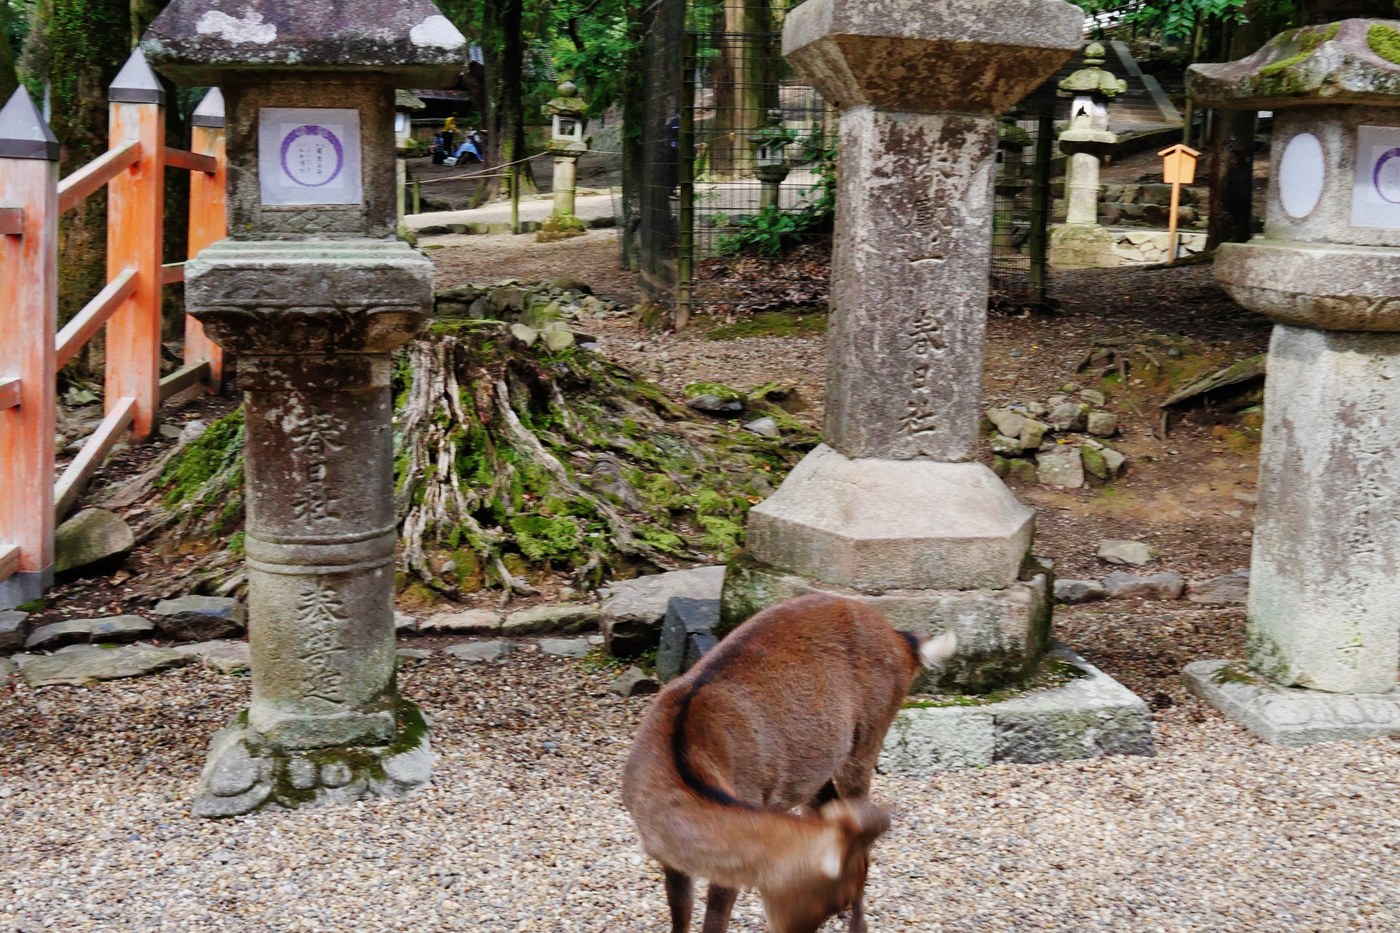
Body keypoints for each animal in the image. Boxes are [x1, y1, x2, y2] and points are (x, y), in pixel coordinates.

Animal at [621, 592, 957, 933]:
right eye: (828, 897)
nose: (842, 904)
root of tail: (903, 640)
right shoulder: (669, 859)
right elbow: (681, 910)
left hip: (869, 736)